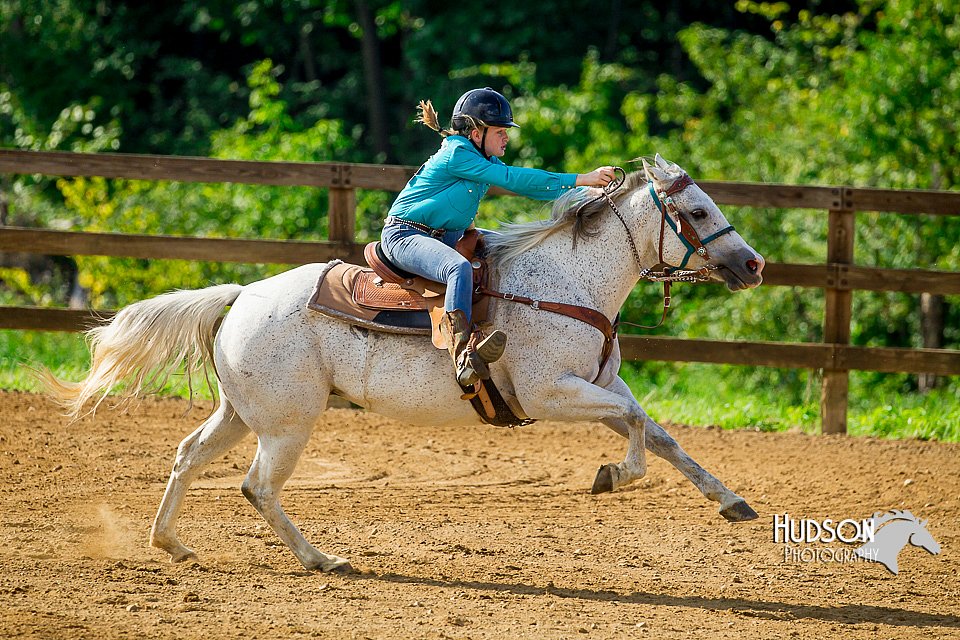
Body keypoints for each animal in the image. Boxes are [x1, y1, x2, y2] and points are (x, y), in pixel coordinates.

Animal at [41, 154, 764, 568]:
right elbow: (641, 434)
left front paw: (732, 502)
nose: (754, 264)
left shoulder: (599, 389)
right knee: (258, 486)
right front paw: (612, 475)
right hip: (287, 423)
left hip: (244, 411)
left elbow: (665, 437)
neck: (567, 281)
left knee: (189, 455)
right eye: (697, 210)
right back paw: (323, 559)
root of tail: (243, 293)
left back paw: (171, 543)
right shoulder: (551, 394)